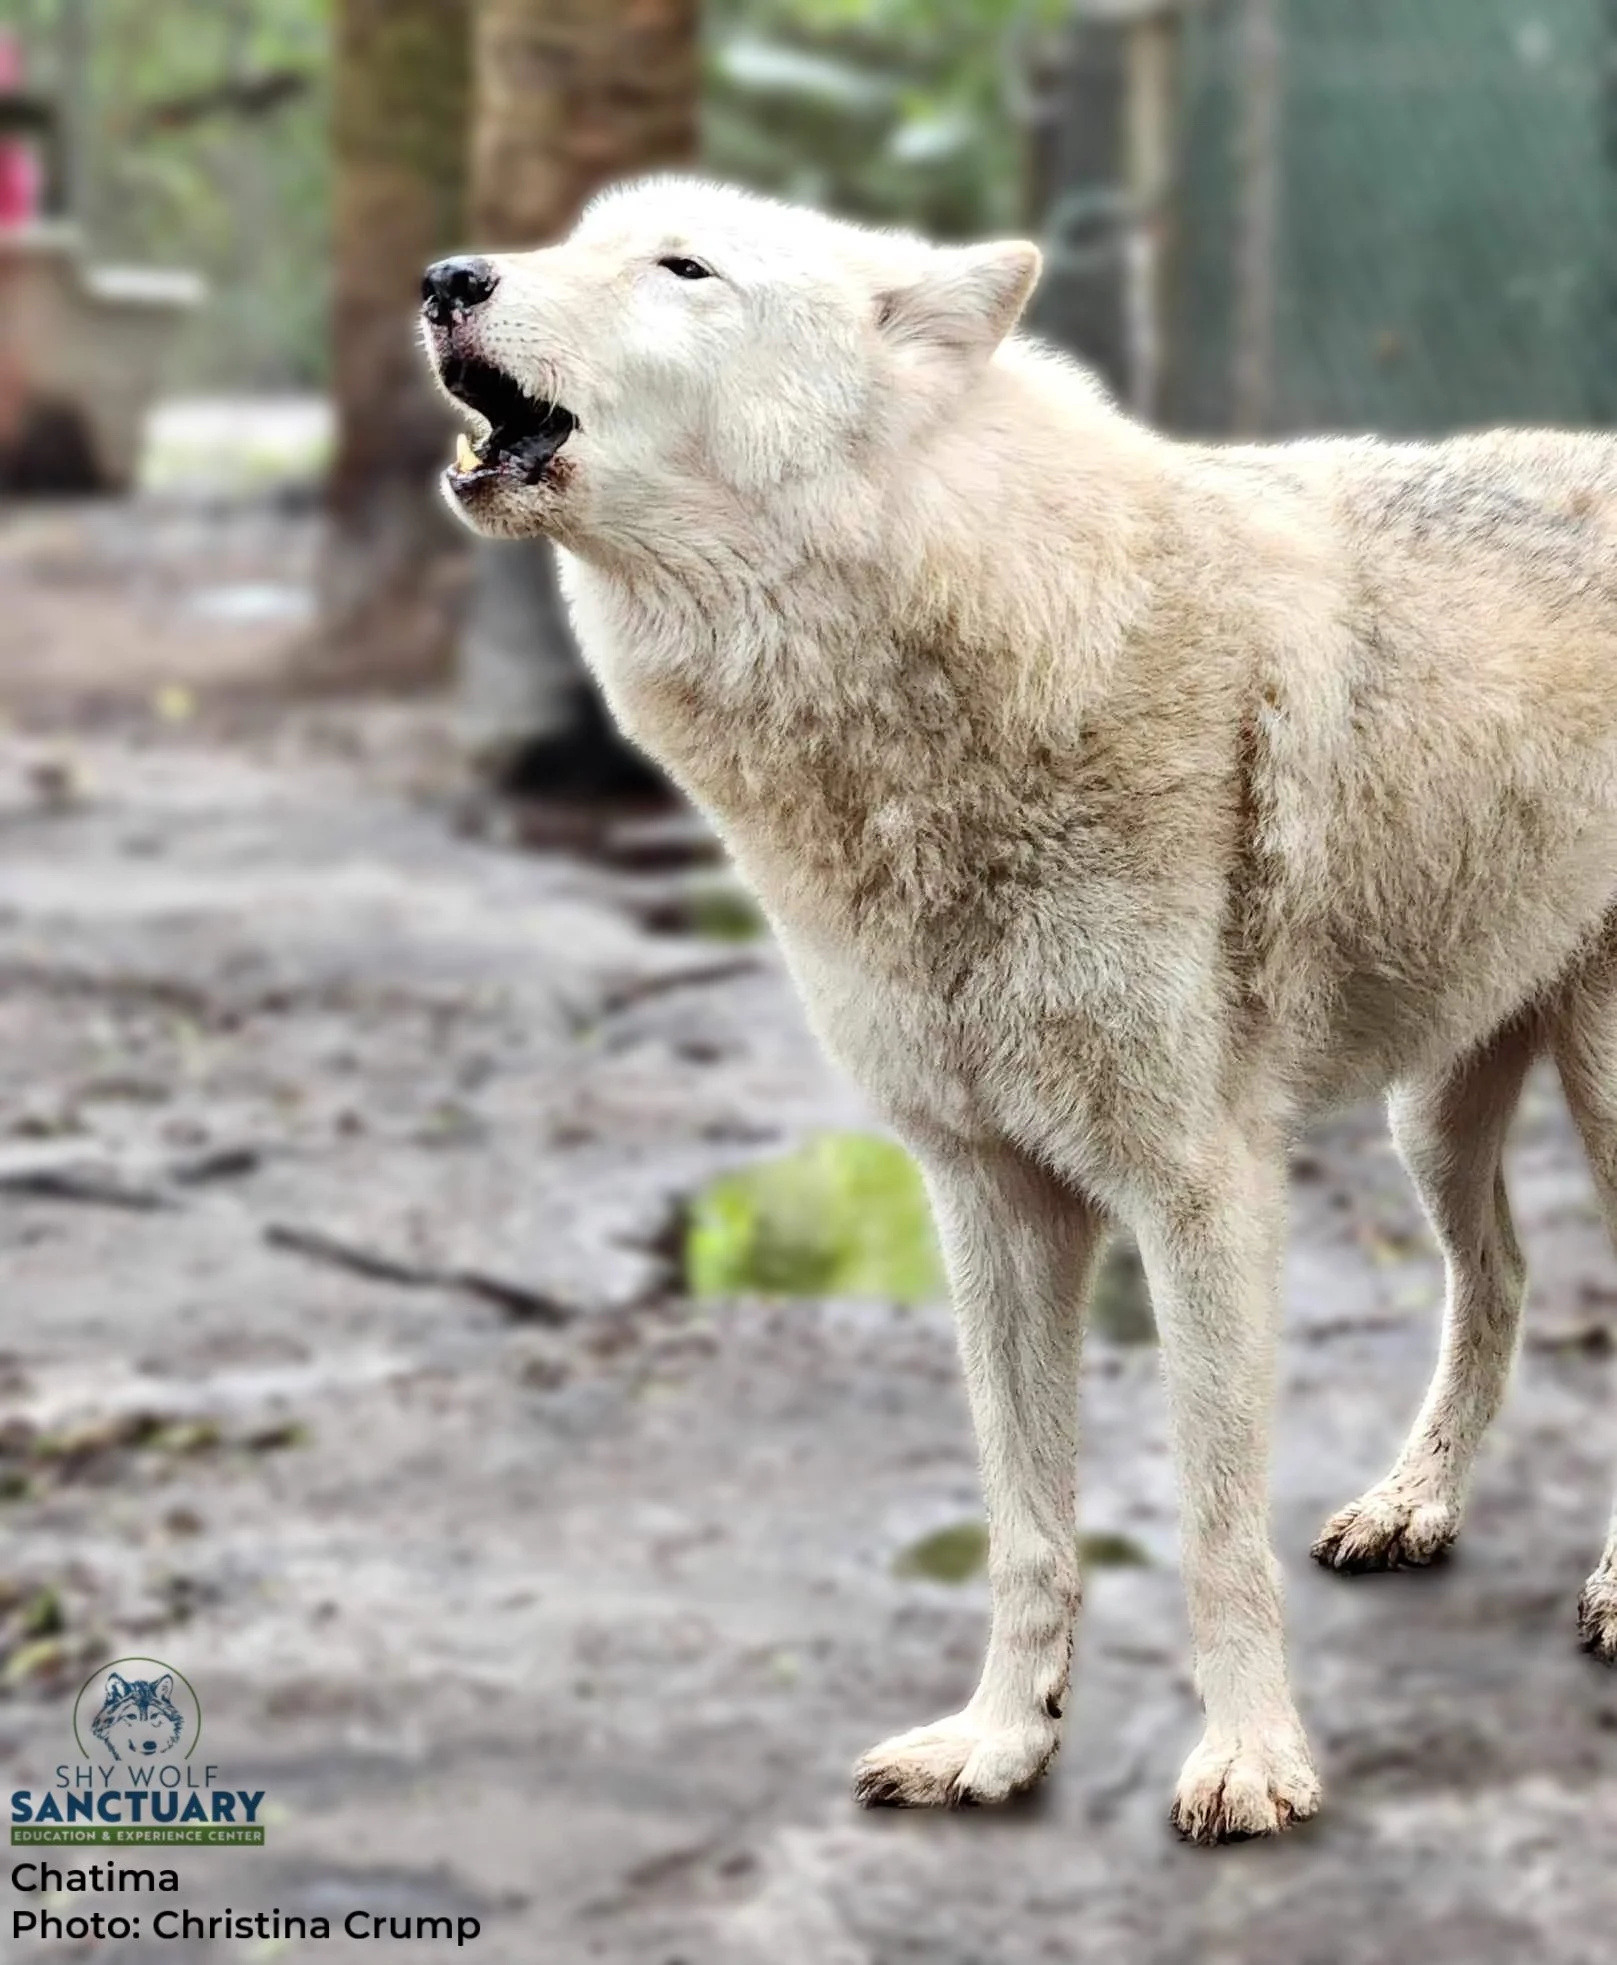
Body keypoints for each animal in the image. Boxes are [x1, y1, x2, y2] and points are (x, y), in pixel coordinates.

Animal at [422, 178, 1617, 1841]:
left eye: (681, 268)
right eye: (578, 242)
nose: (444, 276)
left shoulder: (1198, 1190)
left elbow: (1210, 1519)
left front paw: (1251, 1763)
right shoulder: (986, 1190)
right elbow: (1024, 1520)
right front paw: (998, 1741)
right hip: (1429, 1117)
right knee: (1498, 1278)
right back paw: (1410, 1507)